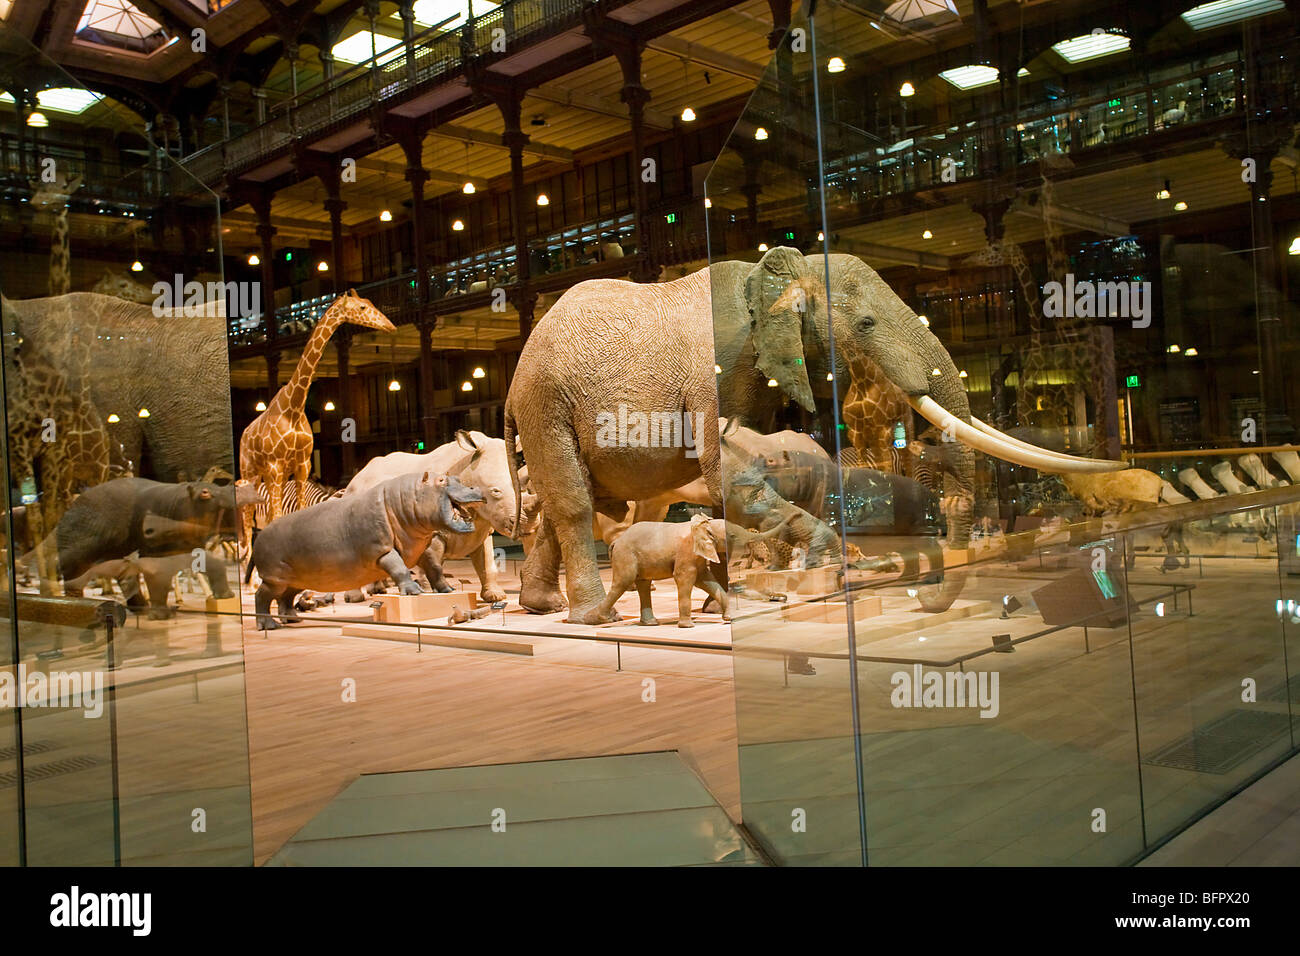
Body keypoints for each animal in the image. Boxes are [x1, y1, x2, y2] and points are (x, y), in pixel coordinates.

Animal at [236, 287, 392, 548]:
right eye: (362, 308)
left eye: (369, 302)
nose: (390, 325)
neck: (294, 406)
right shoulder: (276, 466)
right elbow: (276, 518)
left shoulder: (302, 465)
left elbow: (297, 514)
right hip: (250, 472)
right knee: (247, 528)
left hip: (269, 477)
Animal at [592, 515, 728, 629]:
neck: (706, 524)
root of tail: (617, 541)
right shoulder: (686, 551)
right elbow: (684, 577)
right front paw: (688, 626)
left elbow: (706, 580)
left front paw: (728, 619)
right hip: (625, 555)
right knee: (622, 583)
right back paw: (601, 619)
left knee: (643, 584)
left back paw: (650, 623)